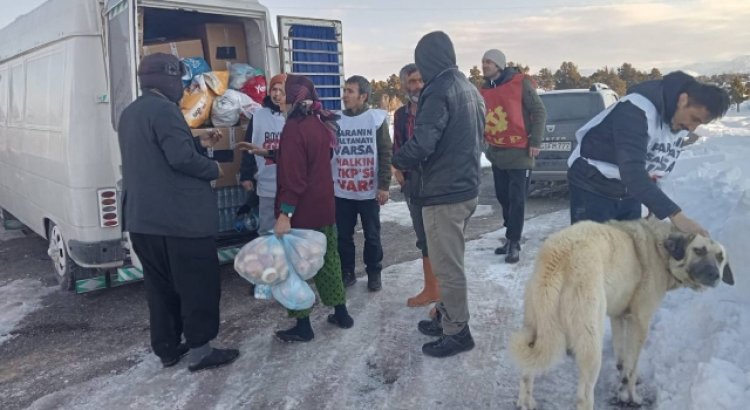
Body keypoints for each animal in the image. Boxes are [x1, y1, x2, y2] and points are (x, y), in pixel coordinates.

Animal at [512, 218, 736, 410]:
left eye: (720, 257)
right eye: (699, 250)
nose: (715, 275)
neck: (661, 249)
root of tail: (558, 255)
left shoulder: (619, 316)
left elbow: (622, 357)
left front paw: (622, 382)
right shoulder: (640, 322)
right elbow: (632, 366)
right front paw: (632, 396)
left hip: (535, 326)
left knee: (526, 372)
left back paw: (526, 402)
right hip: (591, 342)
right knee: (583, 396)